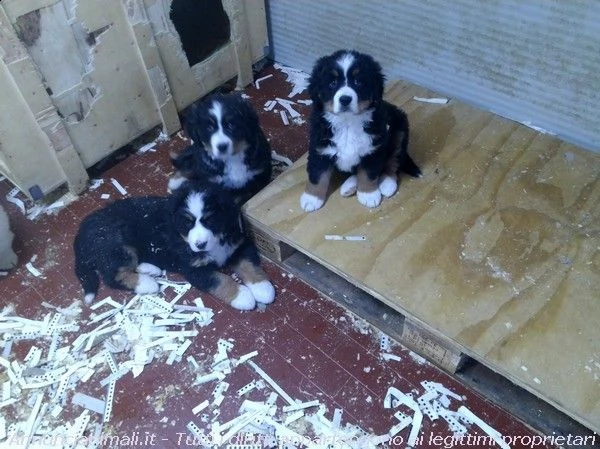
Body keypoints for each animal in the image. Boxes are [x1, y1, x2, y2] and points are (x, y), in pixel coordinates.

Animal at [73, 180, 276, 310]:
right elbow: (220, 280)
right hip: (116, 245)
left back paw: (150, 270)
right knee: (113, 276)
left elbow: (250, 265)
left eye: (210, 220)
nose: (200, 244)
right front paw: (243, 296)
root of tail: (79, 234)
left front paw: (262, 288)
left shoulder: (238, 246)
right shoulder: (193, 269)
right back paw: (147, 283)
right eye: (187, 223)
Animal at [300, 50, 422, 211]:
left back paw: (387, 184)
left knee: (393, 161)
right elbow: (317, 175)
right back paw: (349, 186)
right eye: (332, 83)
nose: (345, 99)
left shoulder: (373, 149)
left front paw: (368, 194)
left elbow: (368, 173)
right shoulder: (320, 149)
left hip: (399, 129)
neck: (347, 123)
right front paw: (312, 198)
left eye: (358, 82)